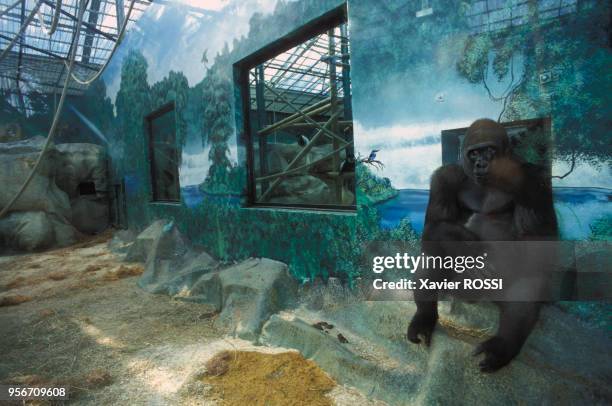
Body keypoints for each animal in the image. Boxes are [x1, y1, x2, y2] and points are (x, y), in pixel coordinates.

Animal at [406, 116, 560, 372]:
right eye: (473, 153)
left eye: (489, 150)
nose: (480, 163)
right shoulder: (445, 176)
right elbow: (435, 225)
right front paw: (475, 251)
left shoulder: (535, 178)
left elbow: (538, 241)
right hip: (455, 288)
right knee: (433, 251)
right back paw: (424, 317)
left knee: (530, 277)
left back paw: (504, 345)